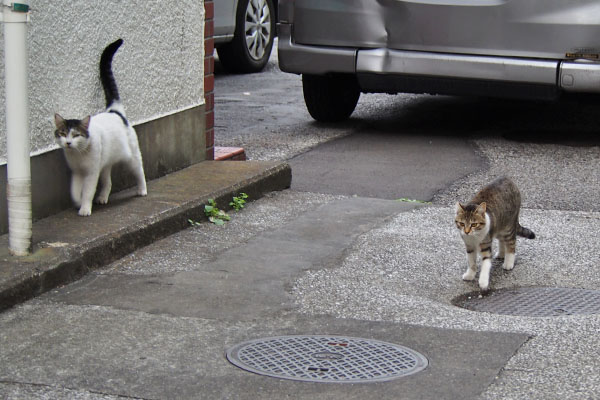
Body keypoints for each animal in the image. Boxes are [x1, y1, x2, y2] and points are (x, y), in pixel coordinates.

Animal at [54, 39, 146, 217]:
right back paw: (103, 197)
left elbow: (88, 191)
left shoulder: (91, 173)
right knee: (108, 182)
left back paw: (142, 190)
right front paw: (78, 201)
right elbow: (74, 190)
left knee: (139, 170)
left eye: (76, 134)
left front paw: (84, 208)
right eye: (63, 133)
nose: (68, 143)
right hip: (105, 163)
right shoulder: (77, 172)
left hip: (131, 157)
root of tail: (114, 110)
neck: (78, 154)